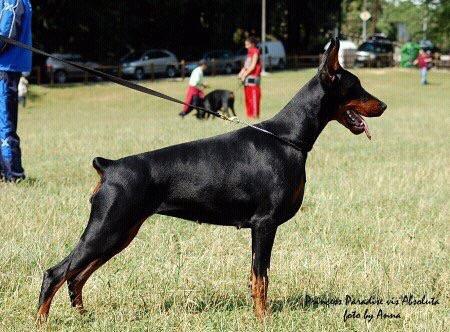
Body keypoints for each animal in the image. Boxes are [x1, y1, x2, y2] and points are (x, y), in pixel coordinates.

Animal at [37, 39, 386, 322]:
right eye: (356, 86)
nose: (383, 105)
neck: (288, 138)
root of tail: (108, 167)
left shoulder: (262, 227)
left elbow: (257, 276)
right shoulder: (264, 223)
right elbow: (261, 277)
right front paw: (263, 318)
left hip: (121, 233)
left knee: (76, 277)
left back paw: (83, 316)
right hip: (108, 227)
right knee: (56, 273)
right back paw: (42, 320)